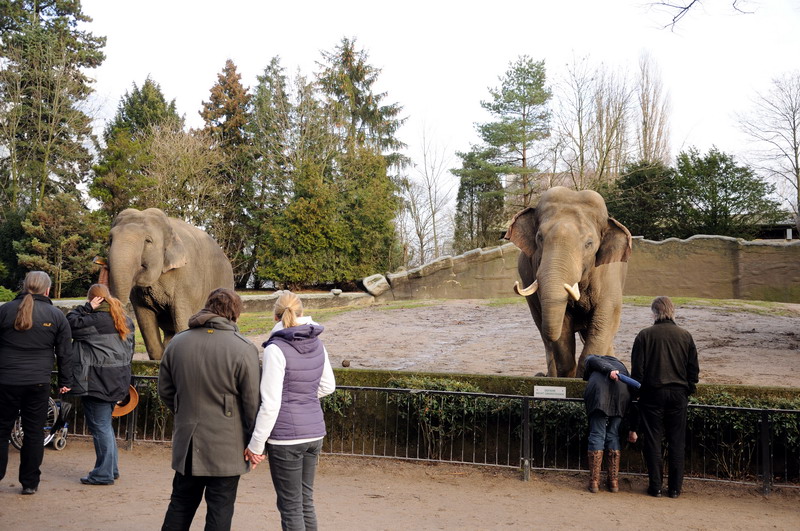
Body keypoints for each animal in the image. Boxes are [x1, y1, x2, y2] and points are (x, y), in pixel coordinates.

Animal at [108, 208, 234, 360]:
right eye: (110, 240)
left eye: (148, 241)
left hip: (225, 280)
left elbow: (182, 317)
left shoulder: (186, 279)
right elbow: (144, 319)